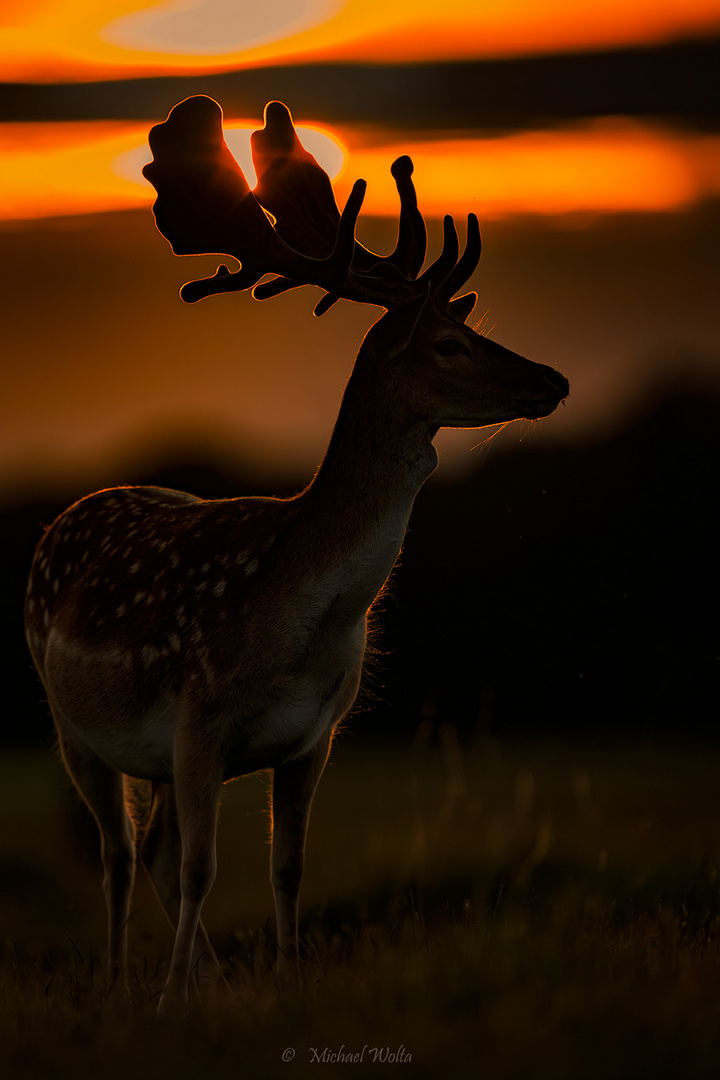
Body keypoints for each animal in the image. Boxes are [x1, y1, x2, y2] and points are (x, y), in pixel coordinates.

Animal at [23, 95, 569, 1010]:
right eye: (449, 345)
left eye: (469, 328)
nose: (552, 379)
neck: (299, 628)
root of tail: (68, 516)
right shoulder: (199, 720)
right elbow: (204, 869)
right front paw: (167, 1003)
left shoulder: (316, 736)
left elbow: (286, 867)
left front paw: (282, 984)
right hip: (75, 730)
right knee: (121, 858)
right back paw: (124, 985)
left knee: (153, 856)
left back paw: (202, 980)